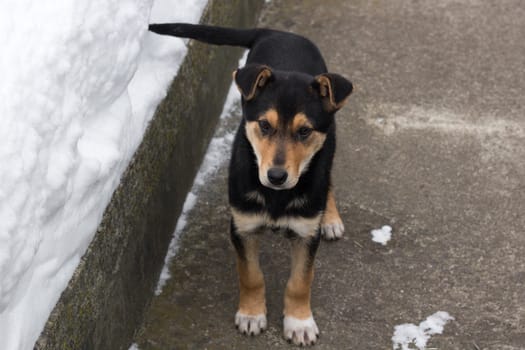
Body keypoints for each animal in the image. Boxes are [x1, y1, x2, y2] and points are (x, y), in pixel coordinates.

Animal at [147, 23, 352, 346]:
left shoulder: (306, 233)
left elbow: (300, 281)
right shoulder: (242, 226)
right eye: (264, 125)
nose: (277, 176)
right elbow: (251, 276)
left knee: (327, 178)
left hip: (330, 144)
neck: (277, 196)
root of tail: (276, 31)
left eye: (305, 131)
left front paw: (299, 322)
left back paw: (329, 217)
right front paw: (252, 315)